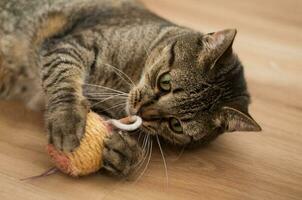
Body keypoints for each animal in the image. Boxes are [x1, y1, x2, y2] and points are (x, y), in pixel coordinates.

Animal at [0, 0, 260, 175]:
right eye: (165, 82)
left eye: (175, 125)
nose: (141, 111)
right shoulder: (72, 44)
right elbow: (64, 82)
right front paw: (66, 120)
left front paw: (126, 153)